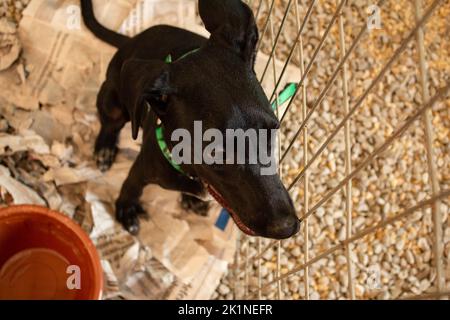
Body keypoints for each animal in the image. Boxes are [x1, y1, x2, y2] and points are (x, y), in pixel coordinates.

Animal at [81, 0, 298, 239]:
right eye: (214, 152)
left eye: (272, 130)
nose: (288, 228)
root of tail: (131, 40)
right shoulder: (141, 169)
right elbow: (131, 186)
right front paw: (126, 210)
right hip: (112, 101)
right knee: (109, 124)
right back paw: (105, 148)